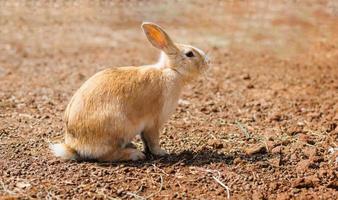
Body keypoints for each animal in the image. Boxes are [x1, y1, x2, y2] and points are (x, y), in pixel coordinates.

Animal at [49, 21, 209, 162]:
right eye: (189, 54)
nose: (208, 62)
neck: (171, 70)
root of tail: (74, 146)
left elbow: (146, 140)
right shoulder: (153, 122)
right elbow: (153, 140)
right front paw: (161, 152)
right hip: (118, 127)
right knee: (106, 155)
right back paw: (134, 154)